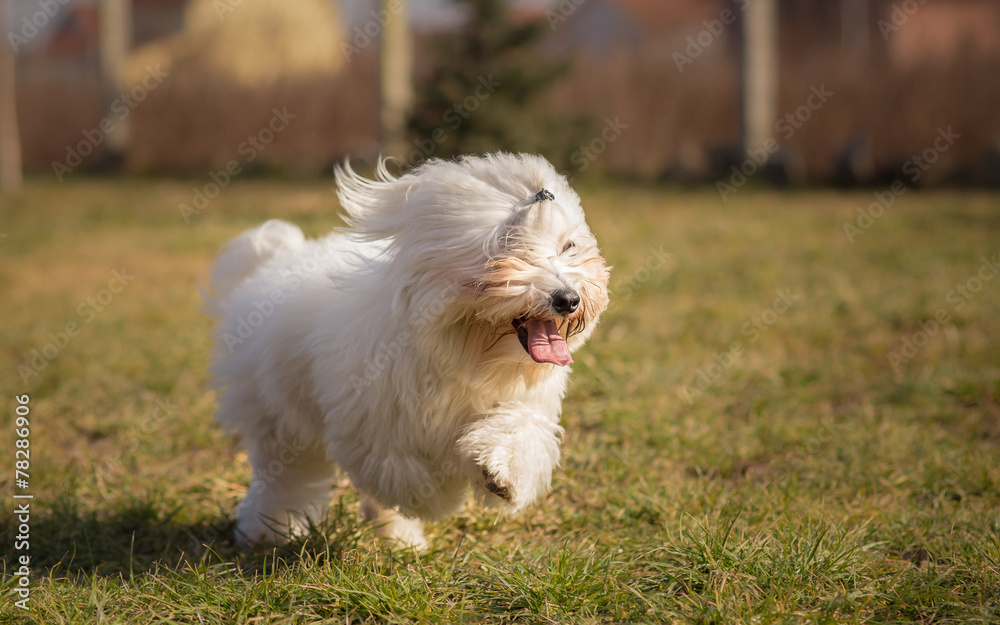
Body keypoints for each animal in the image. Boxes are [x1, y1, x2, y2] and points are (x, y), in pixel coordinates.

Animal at [204, 154, 608, 548]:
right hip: (276, 414)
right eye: (510, 246)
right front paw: (441, 496)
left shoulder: (522, 404)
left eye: (568, 247)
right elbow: (405, 475)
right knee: (285, 477)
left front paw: (499, 473)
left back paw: (399, 538)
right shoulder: (372, 426)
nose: (567, 299)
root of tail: (273, 259)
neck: (466, 352)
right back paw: (266, 531)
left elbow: (517, 434)